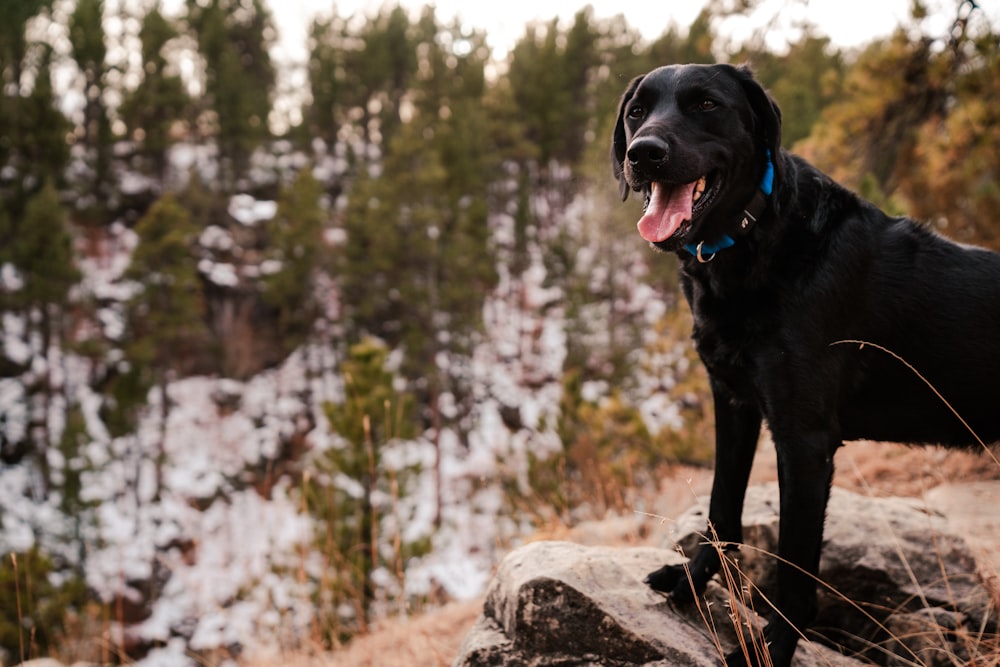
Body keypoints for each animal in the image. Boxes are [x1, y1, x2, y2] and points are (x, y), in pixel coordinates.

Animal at [608, 64, 1000, 667]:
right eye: (636, 112)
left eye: (706, 104)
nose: (643, 153)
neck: (753, 240)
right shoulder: (734, 402)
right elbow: (721, 510)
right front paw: (692, 584)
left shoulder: (805, 440)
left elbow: (795, 569)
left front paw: (771, 648)